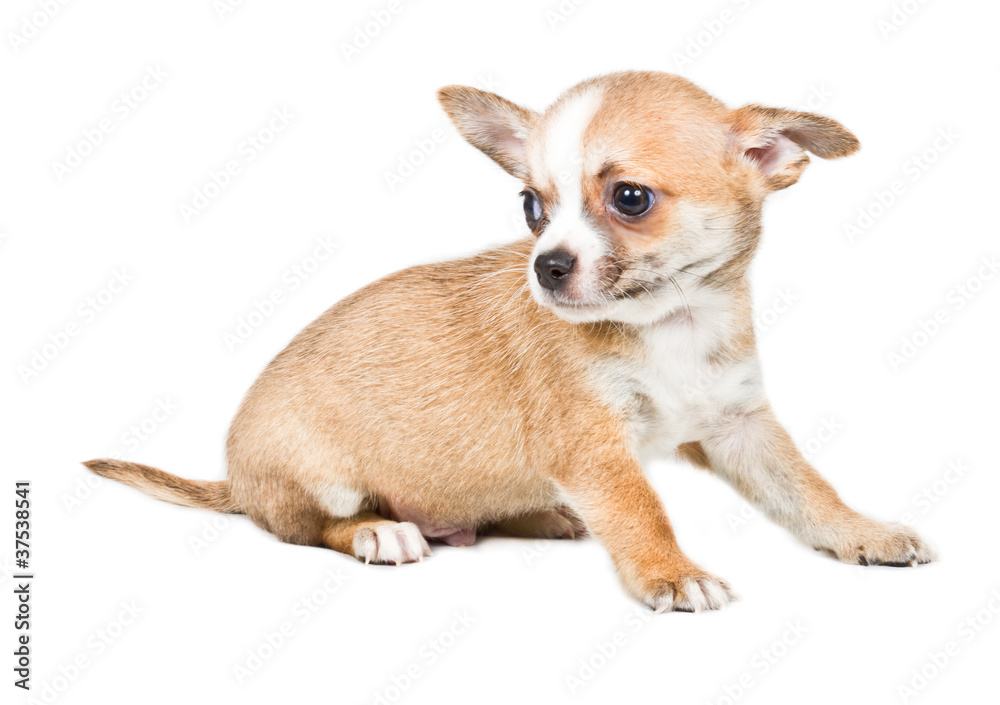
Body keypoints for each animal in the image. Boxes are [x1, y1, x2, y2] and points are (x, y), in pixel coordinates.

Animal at [82, 70, 932, 612]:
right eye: (531, 206)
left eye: (630, 198)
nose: (546, 266)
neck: (672, 325)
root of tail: (235, 481)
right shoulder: (594, 449)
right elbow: (642, 509)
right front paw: (670, 571)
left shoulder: (740, 427)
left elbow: (809, 491)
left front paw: (864, 533)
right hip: (316, 479)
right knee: (311, 526)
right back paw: (382, 531)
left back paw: (544, 516)